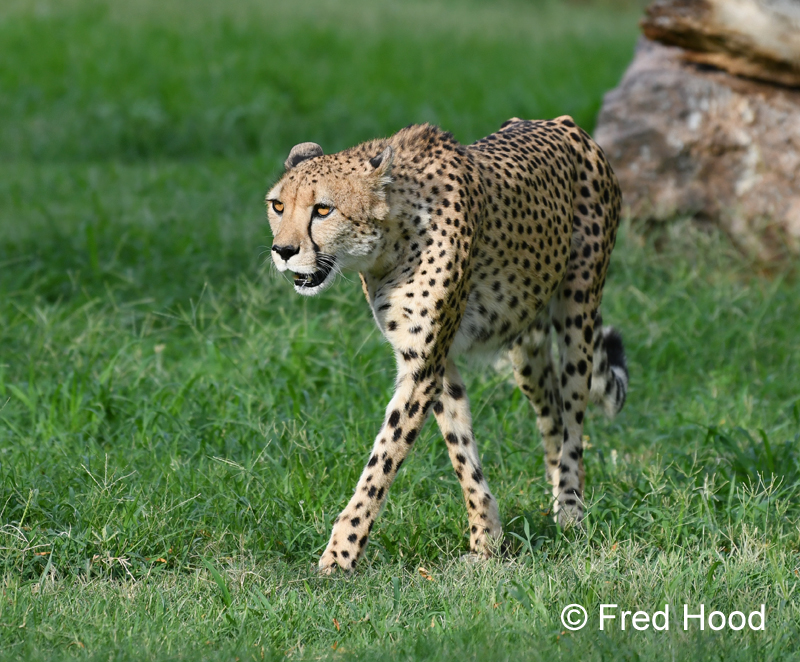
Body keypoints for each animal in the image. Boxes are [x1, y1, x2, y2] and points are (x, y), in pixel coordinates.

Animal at [266, 116, 629, 573]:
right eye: (278, 206)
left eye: (323, 209)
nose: (283, 250)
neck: (391, 239)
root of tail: (566, 125)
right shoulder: (435, 361)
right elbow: (461, 449)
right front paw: (486, 540)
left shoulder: (423, 368)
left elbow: (381, 462)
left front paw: (340, 555)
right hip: (526, 345)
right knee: (552, 416)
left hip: (578, 316)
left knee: (574, 422)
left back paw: (570, 510)